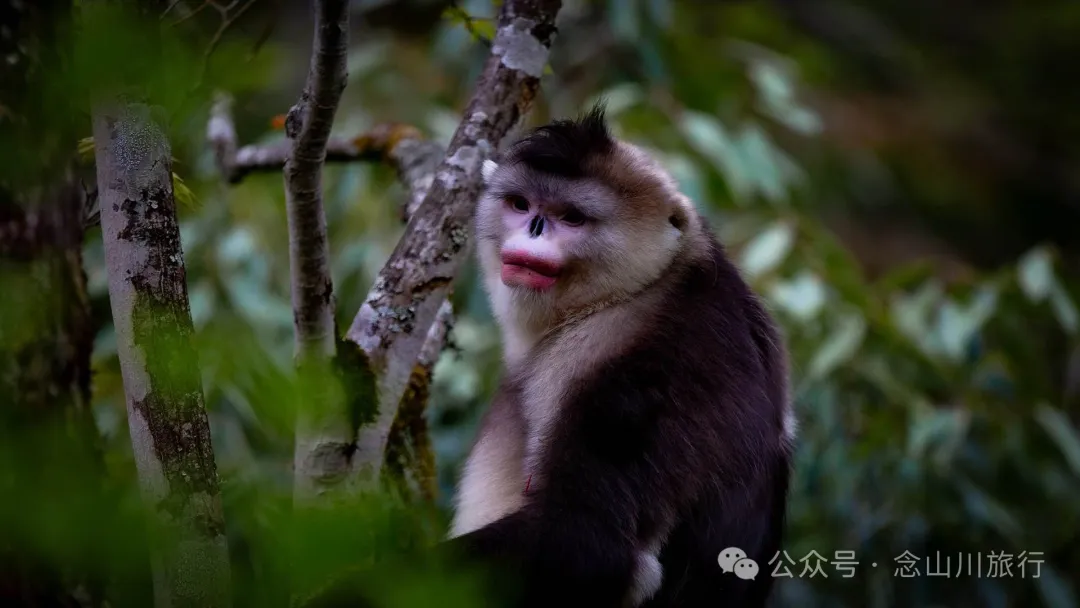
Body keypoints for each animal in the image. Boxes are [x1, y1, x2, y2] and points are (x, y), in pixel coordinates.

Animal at [443, 103, 796, 608]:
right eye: (520, 205)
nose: (534, 229)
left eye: (571, 217)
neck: (641, 289)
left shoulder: (654, 370)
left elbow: (591, 543)